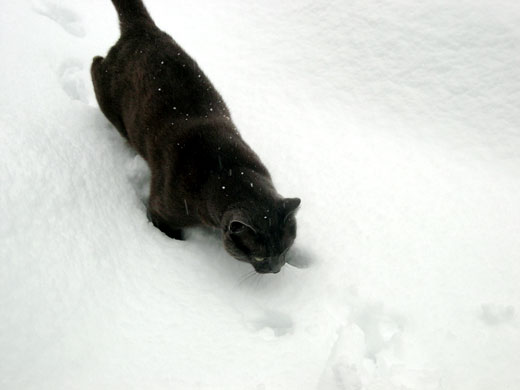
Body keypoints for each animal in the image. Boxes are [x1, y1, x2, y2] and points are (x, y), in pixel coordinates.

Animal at [91, 0, 298, 274]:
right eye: (261, 257)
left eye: (284, 250)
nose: (276, 268)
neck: (226, 169)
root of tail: (143, 28)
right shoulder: (161, 208)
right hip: (109, 96)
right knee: (95, 64)